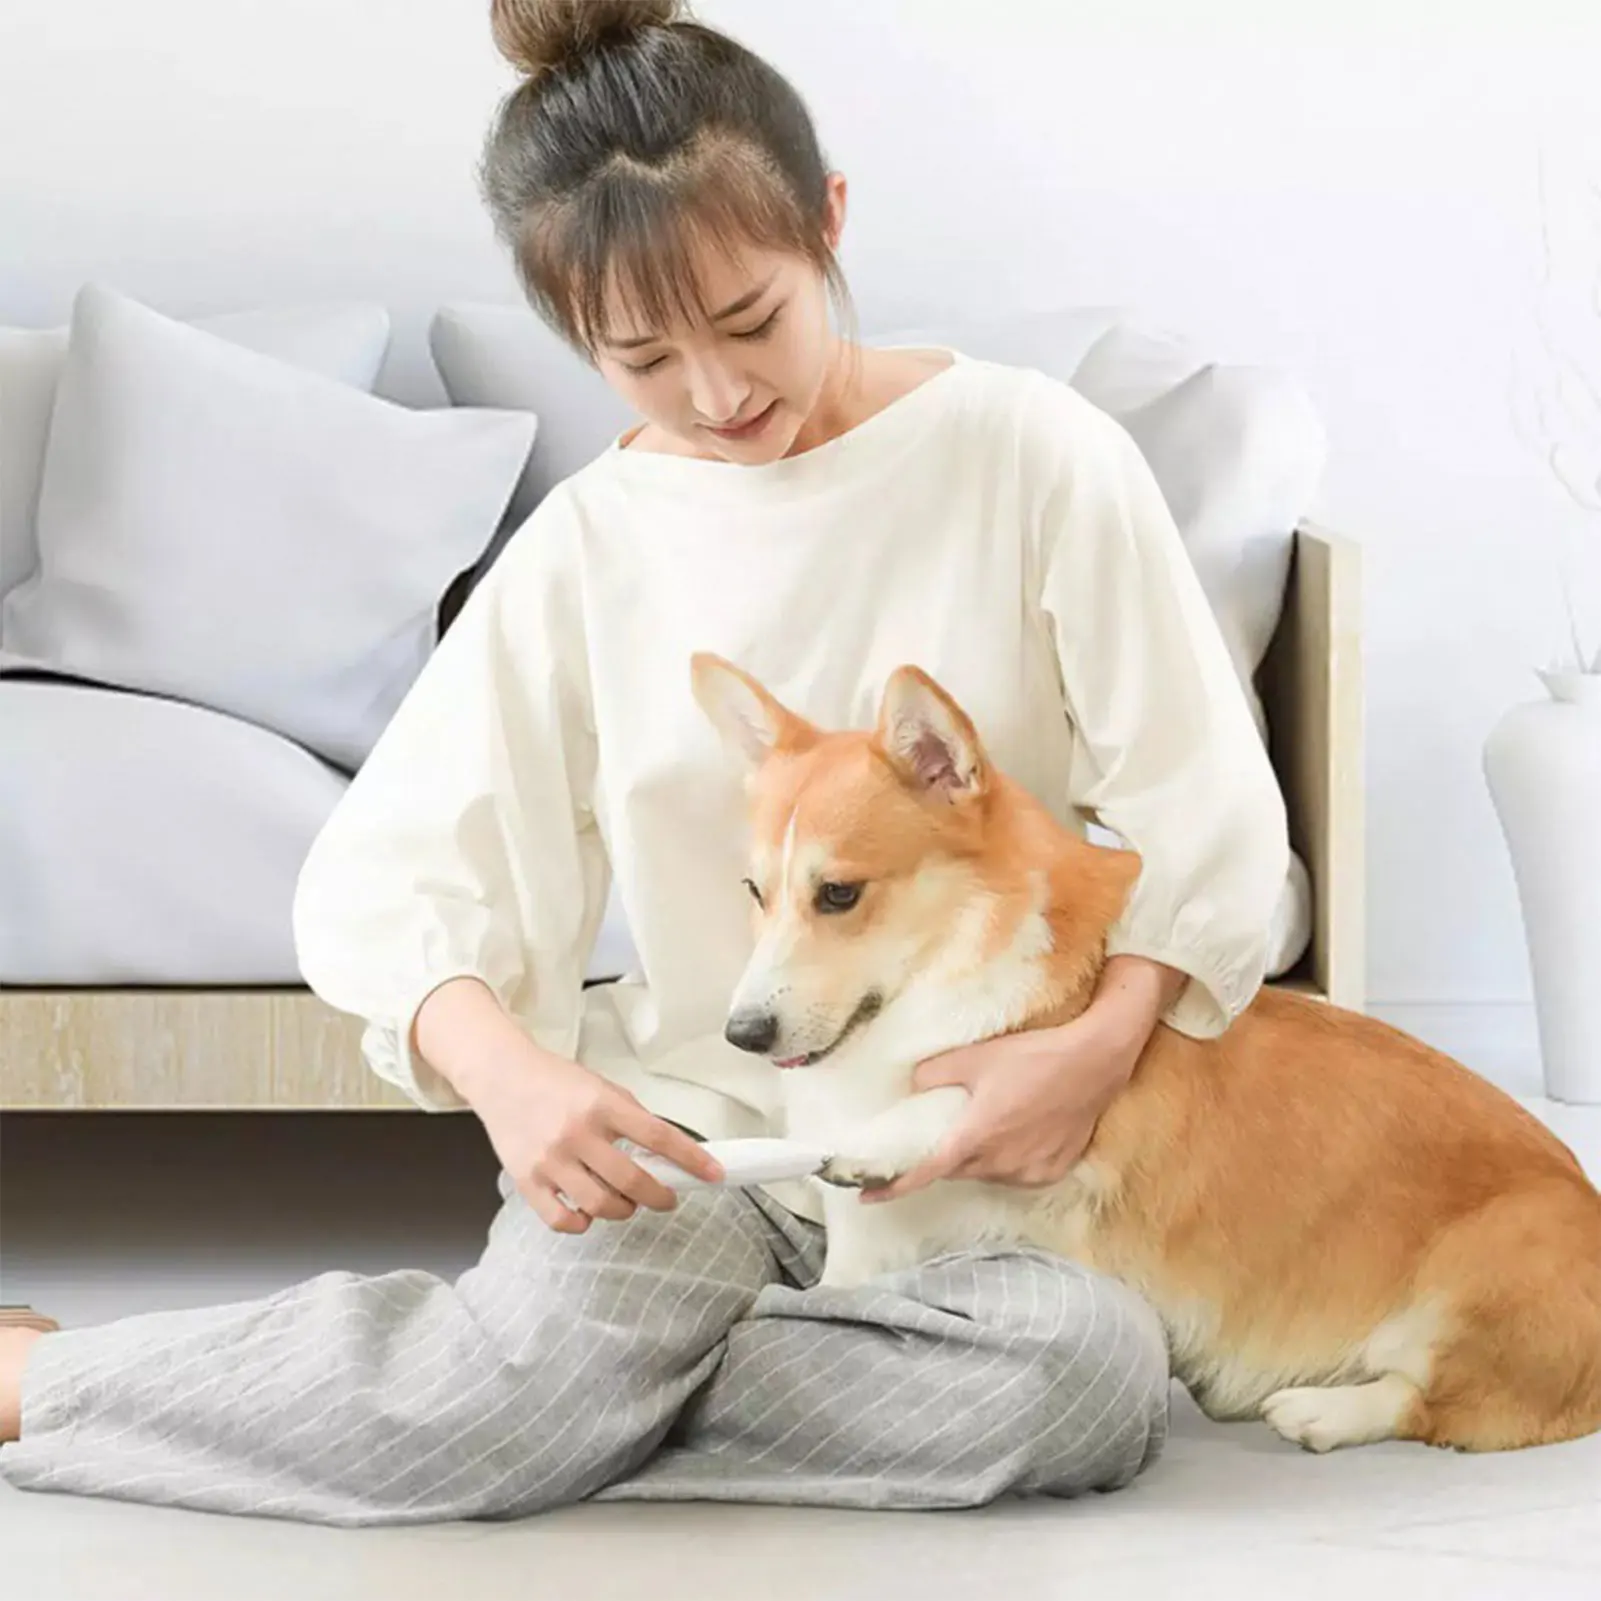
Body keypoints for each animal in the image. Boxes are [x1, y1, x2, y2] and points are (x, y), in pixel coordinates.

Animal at [694, 653, 1601, 1466]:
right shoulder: (863, 1245)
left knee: (1451, 1404)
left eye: (839, 893)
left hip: (1496, 1258)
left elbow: (964, 1095)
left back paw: (1318, 1411)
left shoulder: (1087, 1109)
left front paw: (878, 1137)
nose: (742, 1033)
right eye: (752, 892)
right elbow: (832, 1290)